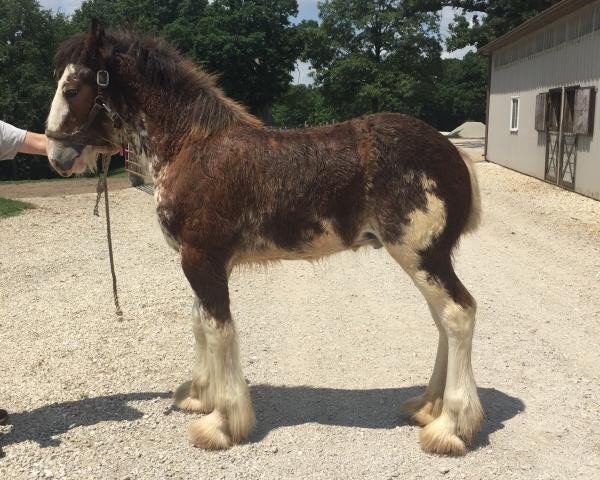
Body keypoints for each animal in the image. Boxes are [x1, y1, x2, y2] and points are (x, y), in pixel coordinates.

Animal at [45, 21, 482, 458]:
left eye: (72, 89)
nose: (55, 154)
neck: (193, 147)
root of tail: (454, 154)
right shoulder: (201, 261)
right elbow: (199, 322)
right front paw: (199, 397)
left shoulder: (201, 259)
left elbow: (219, 331)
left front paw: (221, 423)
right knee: (442, 320)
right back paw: (427, 407)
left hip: (422, 256)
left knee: (458, 314)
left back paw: (450, 427)